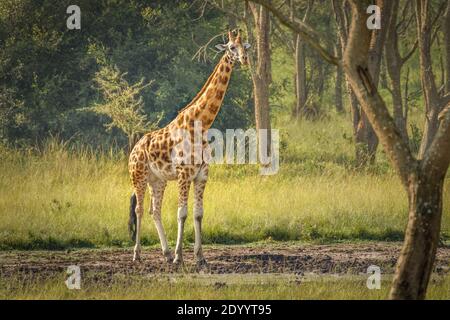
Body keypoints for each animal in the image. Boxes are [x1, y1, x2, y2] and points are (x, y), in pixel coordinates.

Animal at [128, 31, 251, 268]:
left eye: (246, 47)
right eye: (231, 47)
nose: (245, 59)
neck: (201, 124)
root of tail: (133, 149)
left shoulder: (201, 174)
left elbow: (198, 214)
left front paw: (200, 257)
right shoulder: (184, 174)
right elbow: (182, 213)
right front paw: (179, 257)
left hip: (158, 180)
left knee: (154, 210)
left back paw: (165, 253)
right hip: (138, 176)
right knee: (139, 209)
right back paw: (138, 254)